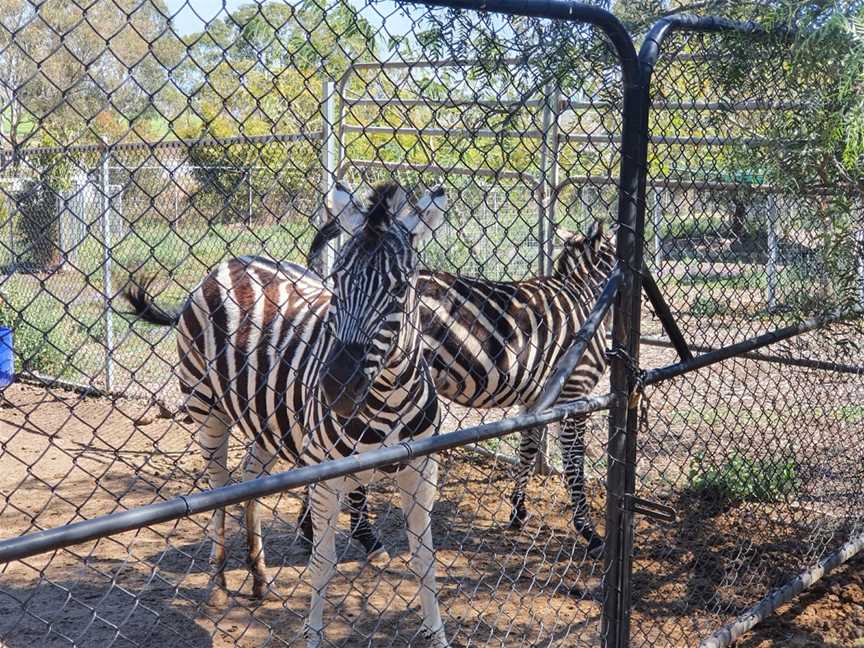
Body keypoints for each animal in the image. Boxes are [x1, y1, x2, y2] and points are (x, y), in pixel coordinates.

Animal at [128, 181, 452, 648]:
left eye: (399, 289)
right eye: (337, 283)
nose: (336, 388)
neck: (386, 398)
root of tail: (232, 261)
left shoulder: (422, 471)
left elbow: (426, 561)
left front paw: (436, 634)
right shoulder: (325, 477)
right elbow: (322, 563)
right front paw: (313, 635)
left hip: (268, 423)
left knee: (249, 479)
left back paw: (259, 576)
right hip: (207, 408)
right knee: (218, 488)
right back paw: (219, 583)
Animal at [304, 214, 616, 556]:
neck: (585, 295)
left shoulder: (535, 398)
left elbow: (528, 451)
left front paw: (517, 511)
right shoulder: (574, 393)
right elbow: (575, 466)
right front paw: (588, 531)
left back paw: (311, 529)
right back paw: (352, 533)